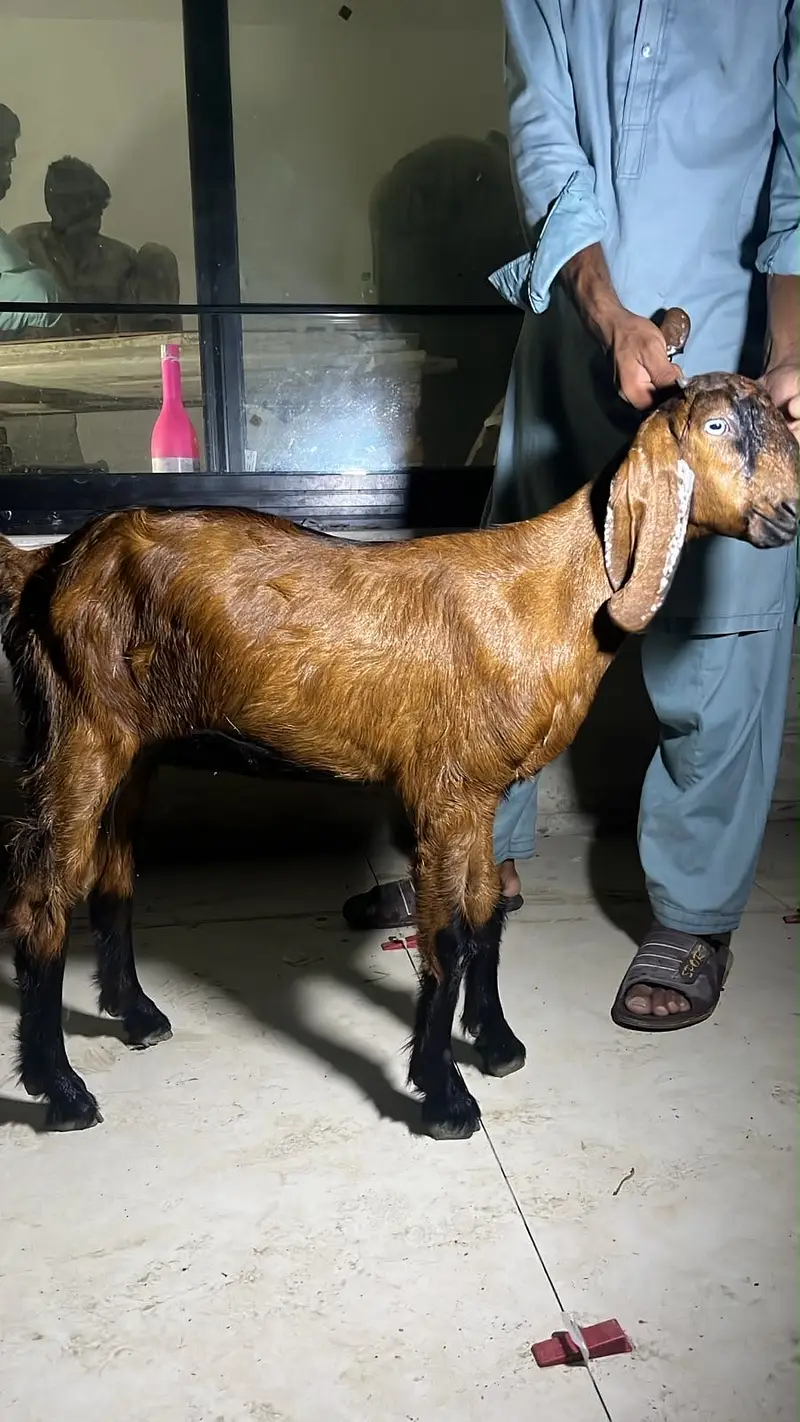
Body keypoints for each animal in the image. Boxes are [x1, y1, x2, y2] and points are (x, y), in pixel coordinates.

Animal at [0, 351, 796, 1136]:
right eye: (718, 425)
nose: (790, 513)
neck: (546, 592)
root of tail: (48, 564)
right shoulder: (444, 791)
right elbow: (445, 936)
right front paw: (445, 1098)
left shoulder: (481, 794)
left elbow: (487, 915)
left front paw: (497, 1045)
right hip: (78, 733)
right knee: (40, 901)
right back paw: (62, 1092)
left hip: (134, 752)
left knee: (112, 879)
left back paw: (135, 1016)